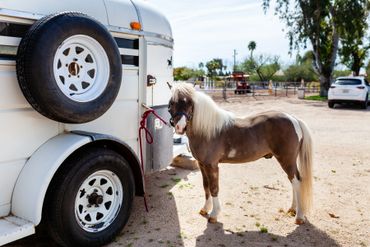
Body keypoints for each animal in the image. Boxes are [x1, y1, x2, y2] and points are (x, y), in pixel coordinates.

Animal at [168, 82, 312, 224]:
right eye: (171, 103)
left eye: (190, 103)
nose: (180, 127)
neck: (207, 130)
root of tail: (293, 119)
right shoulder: (202, 164)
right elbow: (206, 186)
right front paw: (205, 209)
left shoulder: (212, 166)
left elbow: (214, 188)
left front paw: (214, 214)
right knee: (293, 180)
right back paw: (292, 209)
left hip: (286, 160)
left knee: (296, 181)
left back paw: (299, 216)